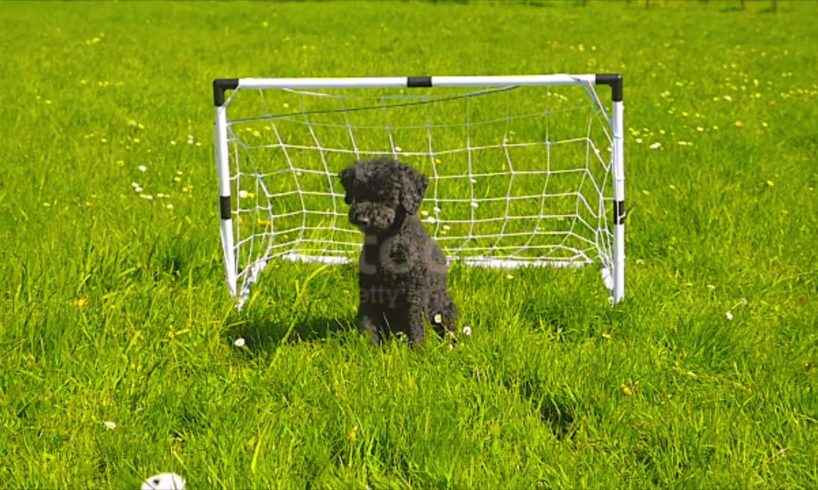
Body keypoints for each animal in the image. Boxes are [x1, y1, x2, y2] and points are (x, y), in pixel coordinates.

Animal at [334, 159, 456, 346]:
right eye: (358, 193)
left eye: (386, 196)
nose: (362, 219)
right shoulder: (369, 291)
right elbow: (367, 324)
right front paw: (368, 347)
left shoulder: (414, 293)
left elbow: (415, 325)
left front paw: (417, 349)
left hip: (443, 308)